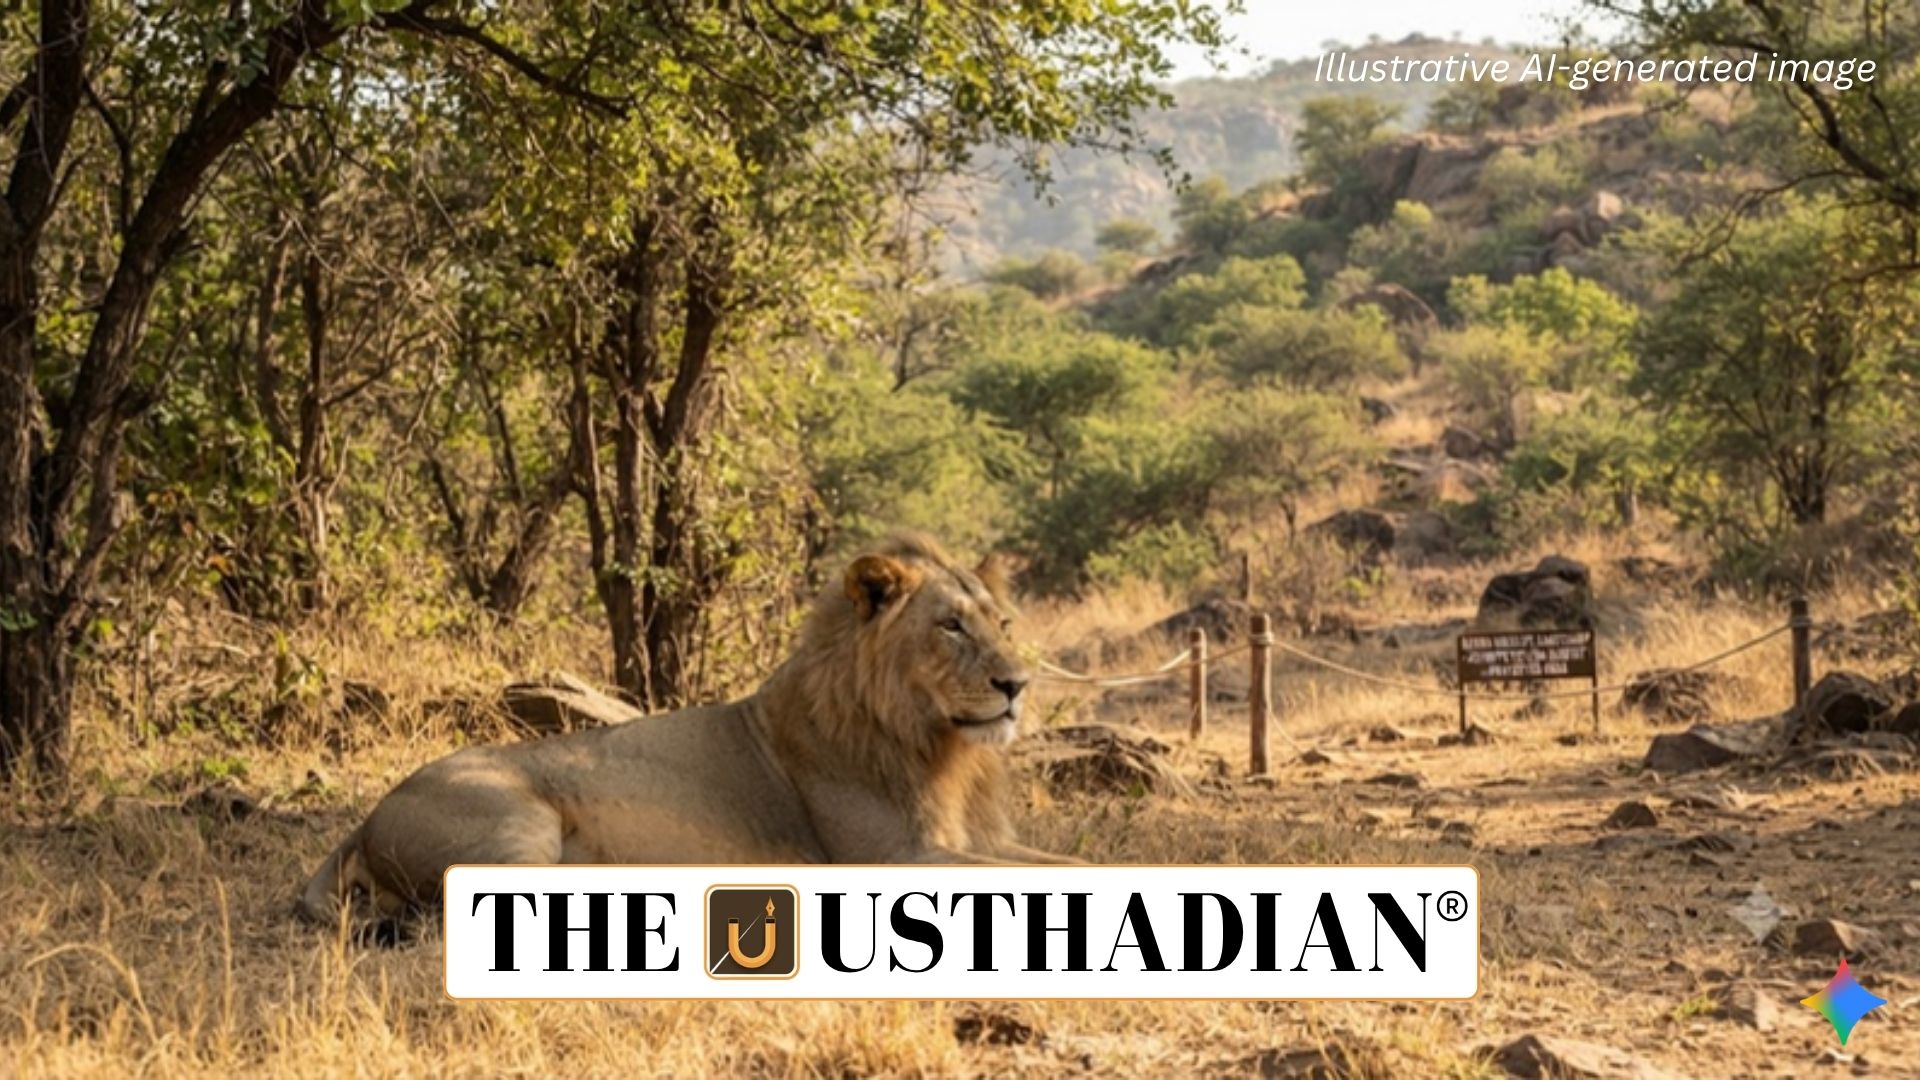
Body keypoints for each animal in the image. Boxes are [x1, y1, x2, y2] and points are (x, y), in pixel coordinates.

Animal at [298, 533, 1074, 926]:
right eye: (950, 627)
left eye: (1003, 625)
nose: (1018, 686)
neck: (940, 744)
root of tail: (366, 818)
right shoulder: (893, 860)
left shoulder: (979, 840)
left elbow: (1074, 864)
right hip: (515, 825)